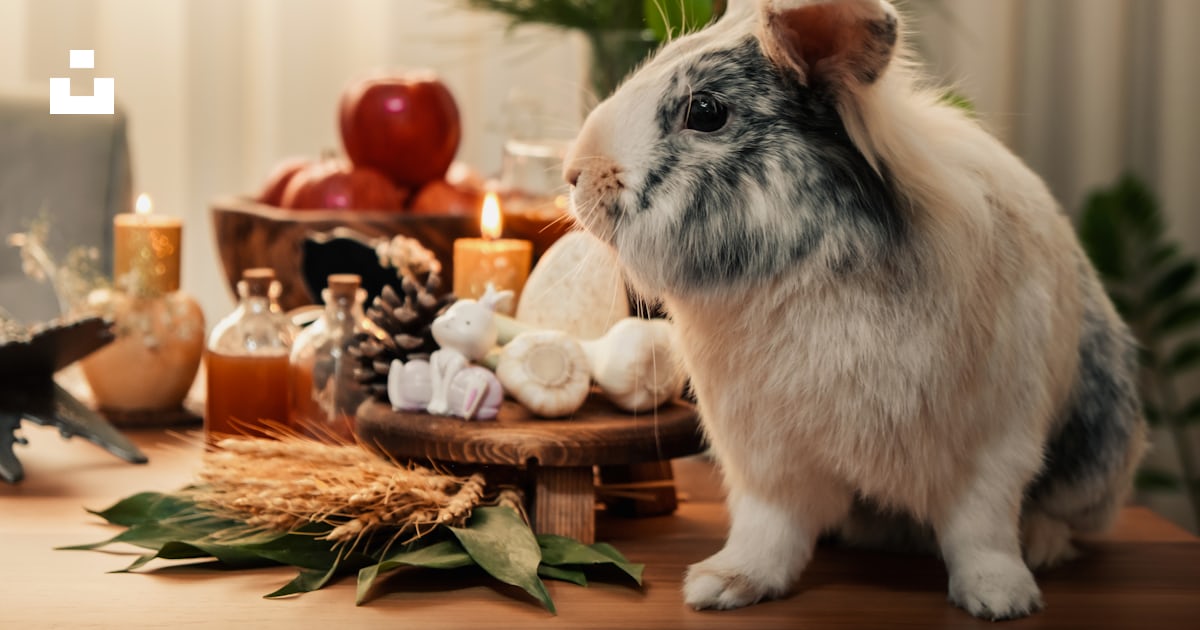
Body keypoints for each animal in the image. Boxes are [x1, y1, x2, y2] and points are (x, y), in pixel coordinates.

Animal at [563, 0, 1146, 621]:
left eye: (706, 111)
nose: (575, 173)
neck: (806, 272)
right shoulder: (767, 457)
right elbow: (768, 531)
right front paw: (724, 584)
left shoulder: (990, 445)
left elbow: (981, 530)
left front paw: (1001, 599)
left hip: (1096, 458)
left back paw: (1040, 544)